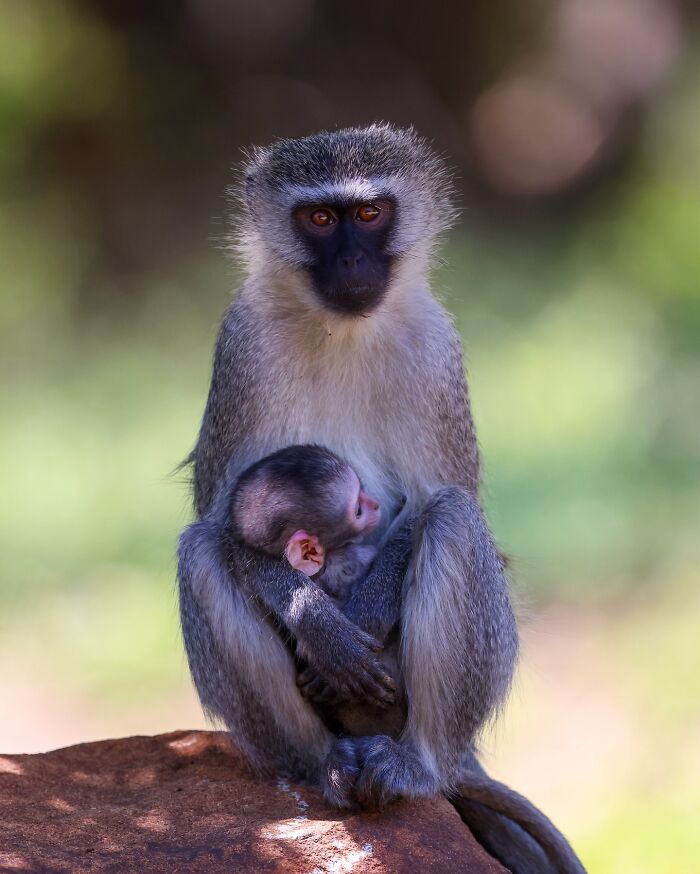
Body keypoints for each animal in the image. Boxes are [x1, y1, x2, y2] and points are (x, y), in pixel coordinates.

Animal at [177, 124, 586, 874]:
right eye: (318, 218)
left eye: (369, 214)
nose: (351, 259)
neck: (342, 329)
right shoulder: (241, 346)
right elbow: (221, 524)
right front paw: (320, 625)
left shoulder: (436, 349)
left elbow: (437, 502)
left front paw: (355, 624)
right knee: (199, 552)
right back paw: (321, 767)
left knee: (454, 520)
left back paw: (419, 765)